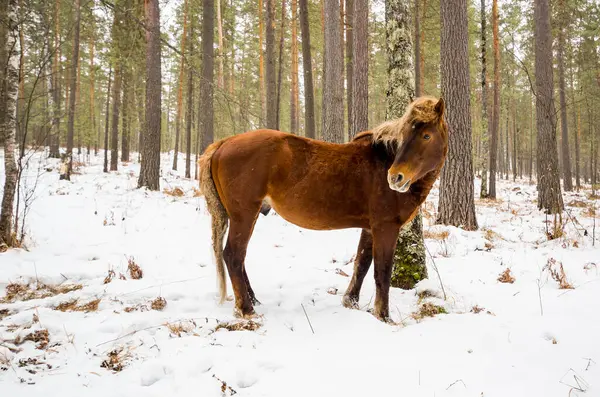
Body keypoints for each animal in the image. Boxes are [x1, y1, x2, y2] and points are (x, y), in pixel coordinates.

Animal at [199, 96, 448, 322]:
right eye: (404, 136)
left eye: (426, 135)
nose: (395, 177)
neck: (381, 160)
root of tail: (224, 143)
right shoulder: (385, 228)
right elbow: (382, 272)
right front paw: (383, 316)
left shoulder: (370, 228)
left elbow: (362, 264)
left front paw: (351, 302)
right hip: (244, 215)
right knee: (233, 255)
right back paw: (247, 309)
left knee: (238, 258)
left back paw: (253, 300)